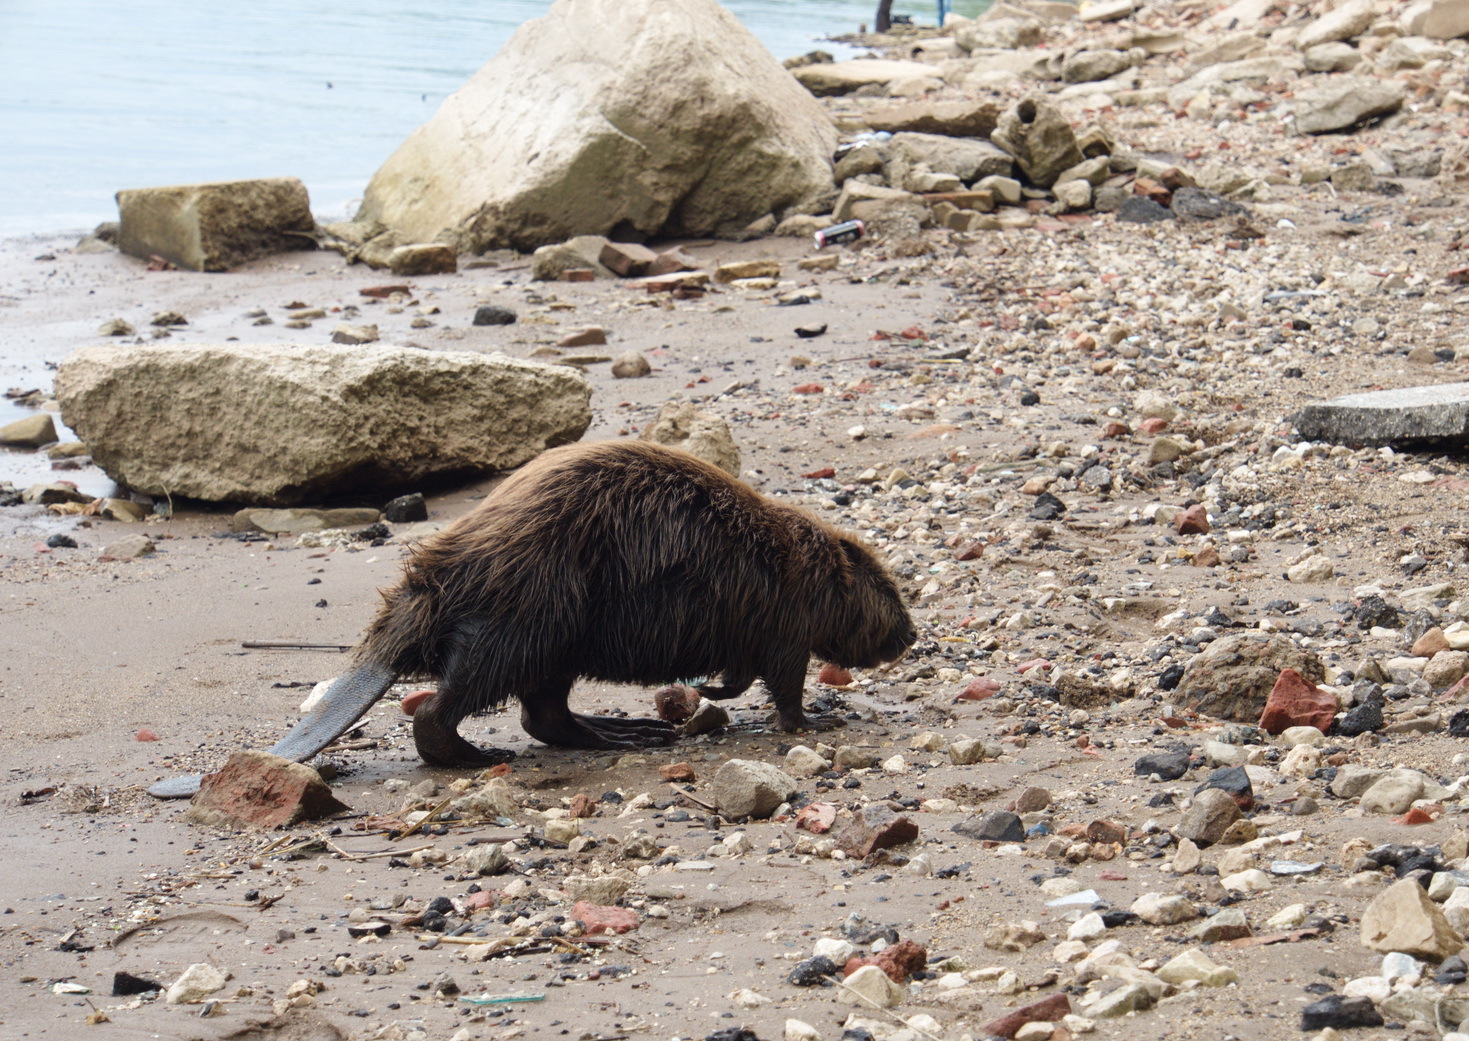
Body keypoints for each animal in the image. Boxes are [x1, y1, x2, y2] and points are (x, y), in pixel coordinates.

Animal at [146, 437, 904, 798]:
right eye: (889, 588)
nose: (910, 634)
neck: (792, 557)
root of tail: (397, 632)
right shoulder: (783, 619)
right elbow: (784, 682)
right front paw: (816, 722)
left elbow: (743, 673)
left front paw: (708, 691)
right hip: (526, 620)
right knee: (449, 712)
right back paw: (486, 755)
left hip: (550, 639)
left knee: (544, 713)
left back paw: (623, 734)